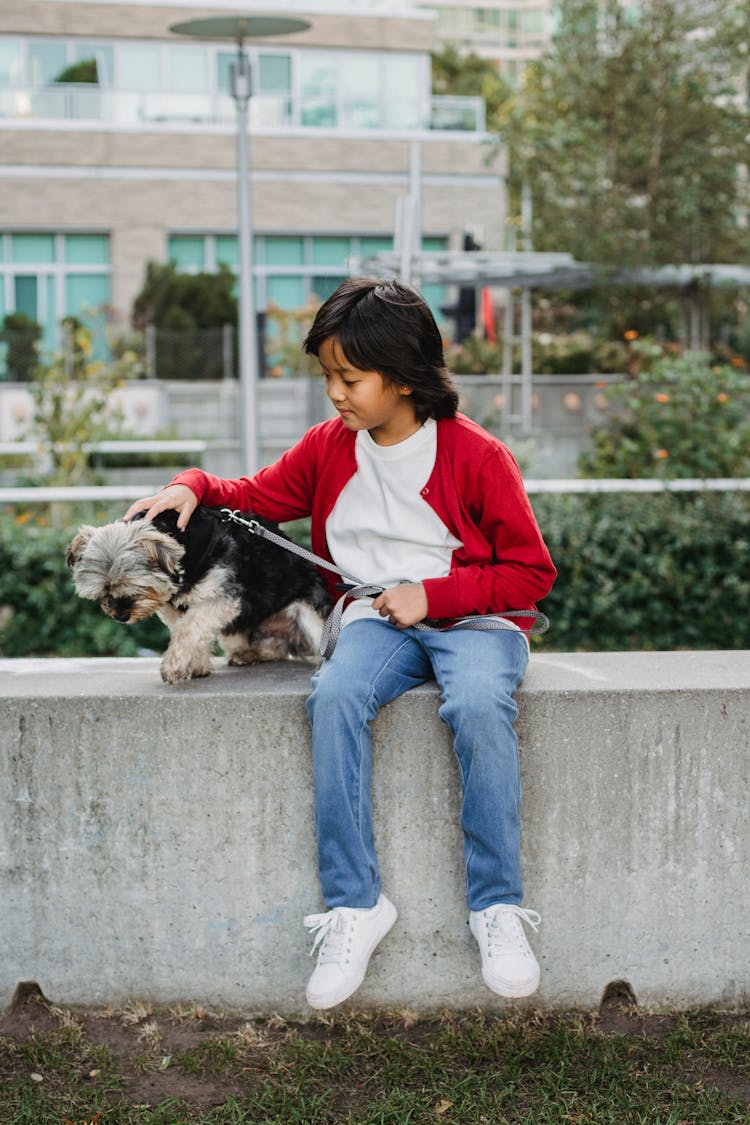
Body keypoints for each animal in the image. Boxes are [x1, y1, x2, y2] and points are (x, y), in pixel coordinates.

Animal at [66, 506, 330, 679]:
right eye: (103, 591)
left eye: (135, 587)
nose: (121, 616)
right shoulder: (175, 607)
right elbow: (190, 631)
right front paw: (197, 666)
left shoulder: (222, 598)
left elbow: (189, 628)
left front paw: (173, 666)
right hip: (237, 632)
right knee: (273, 648)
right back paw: (247, 653)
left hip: (310, 613)